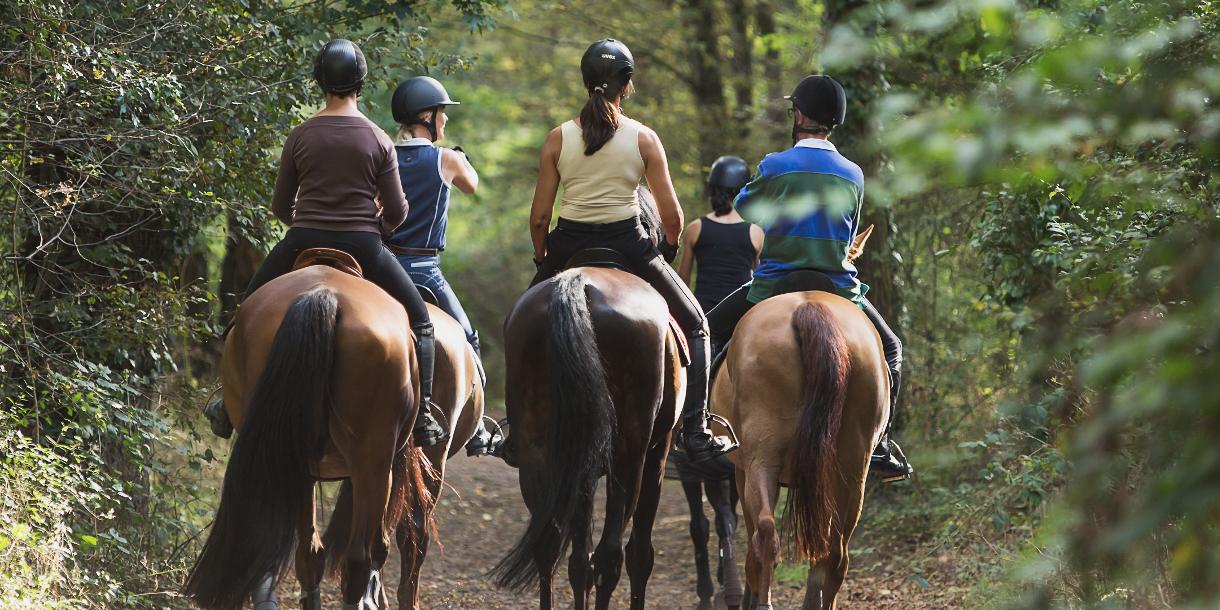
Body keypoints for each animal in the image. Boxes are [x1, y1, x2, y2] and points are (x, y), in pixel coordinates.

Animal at [185, 258, 439, 610]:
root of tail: (323, 296)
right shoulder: (385, 467)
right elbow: (380, 547)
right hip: (371, 463)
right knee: (357, 558)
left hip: (293, 457)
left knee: (307, 552)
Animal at [492, 191, 688, 610]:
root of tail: (580, 285)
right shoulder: (658, 454)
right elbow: (638, 554)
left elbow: (578, 557)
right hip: (629, 455)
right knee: (612, 553)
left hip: (542, 447)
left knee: (549, 544)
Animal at [707, 289, 888, 610]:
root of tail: (811, 306)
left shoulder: (742, 470)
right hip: (853, 467)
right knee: (836, 552)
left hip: (761, 458)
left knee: (765, 532)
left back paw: (763, 602)